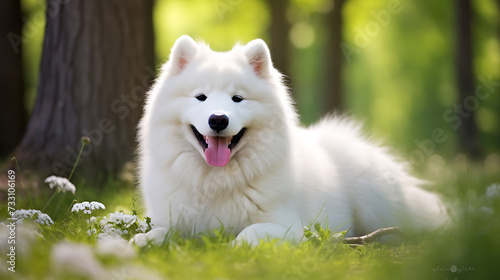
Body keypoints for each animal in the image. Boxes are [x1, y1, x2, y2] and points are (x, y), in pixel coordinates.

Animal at [138, 35, 450, 245]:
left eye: (237, 98)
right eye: (200, 97)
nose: (218, 119)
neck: (217, 180)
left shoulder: (291, 227)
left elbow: (249, 232)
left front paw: (233, 245)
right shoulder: (173, 217)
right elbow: (160, 231)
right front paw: (145, 241)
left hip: (374, 199)